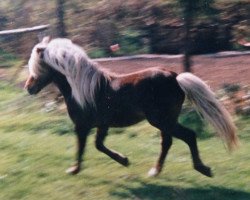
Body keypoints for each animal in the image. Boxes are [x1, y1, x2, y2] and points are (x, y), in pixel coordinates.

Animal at [25, 36, 238, 177]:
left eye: (38, 67)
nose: (28, 87)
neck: (81, 89)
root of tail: (176, 77)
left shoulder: (82, 126)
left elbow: (82, 147)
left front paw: (74, 169)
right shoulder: (102, 125)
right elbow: (98, 145)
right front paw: (124, 160)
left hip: (162, 120)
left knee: (188, 136)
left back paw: (202, 168)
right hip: (166, 121)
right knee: (168, 142)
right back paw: (155, 171)